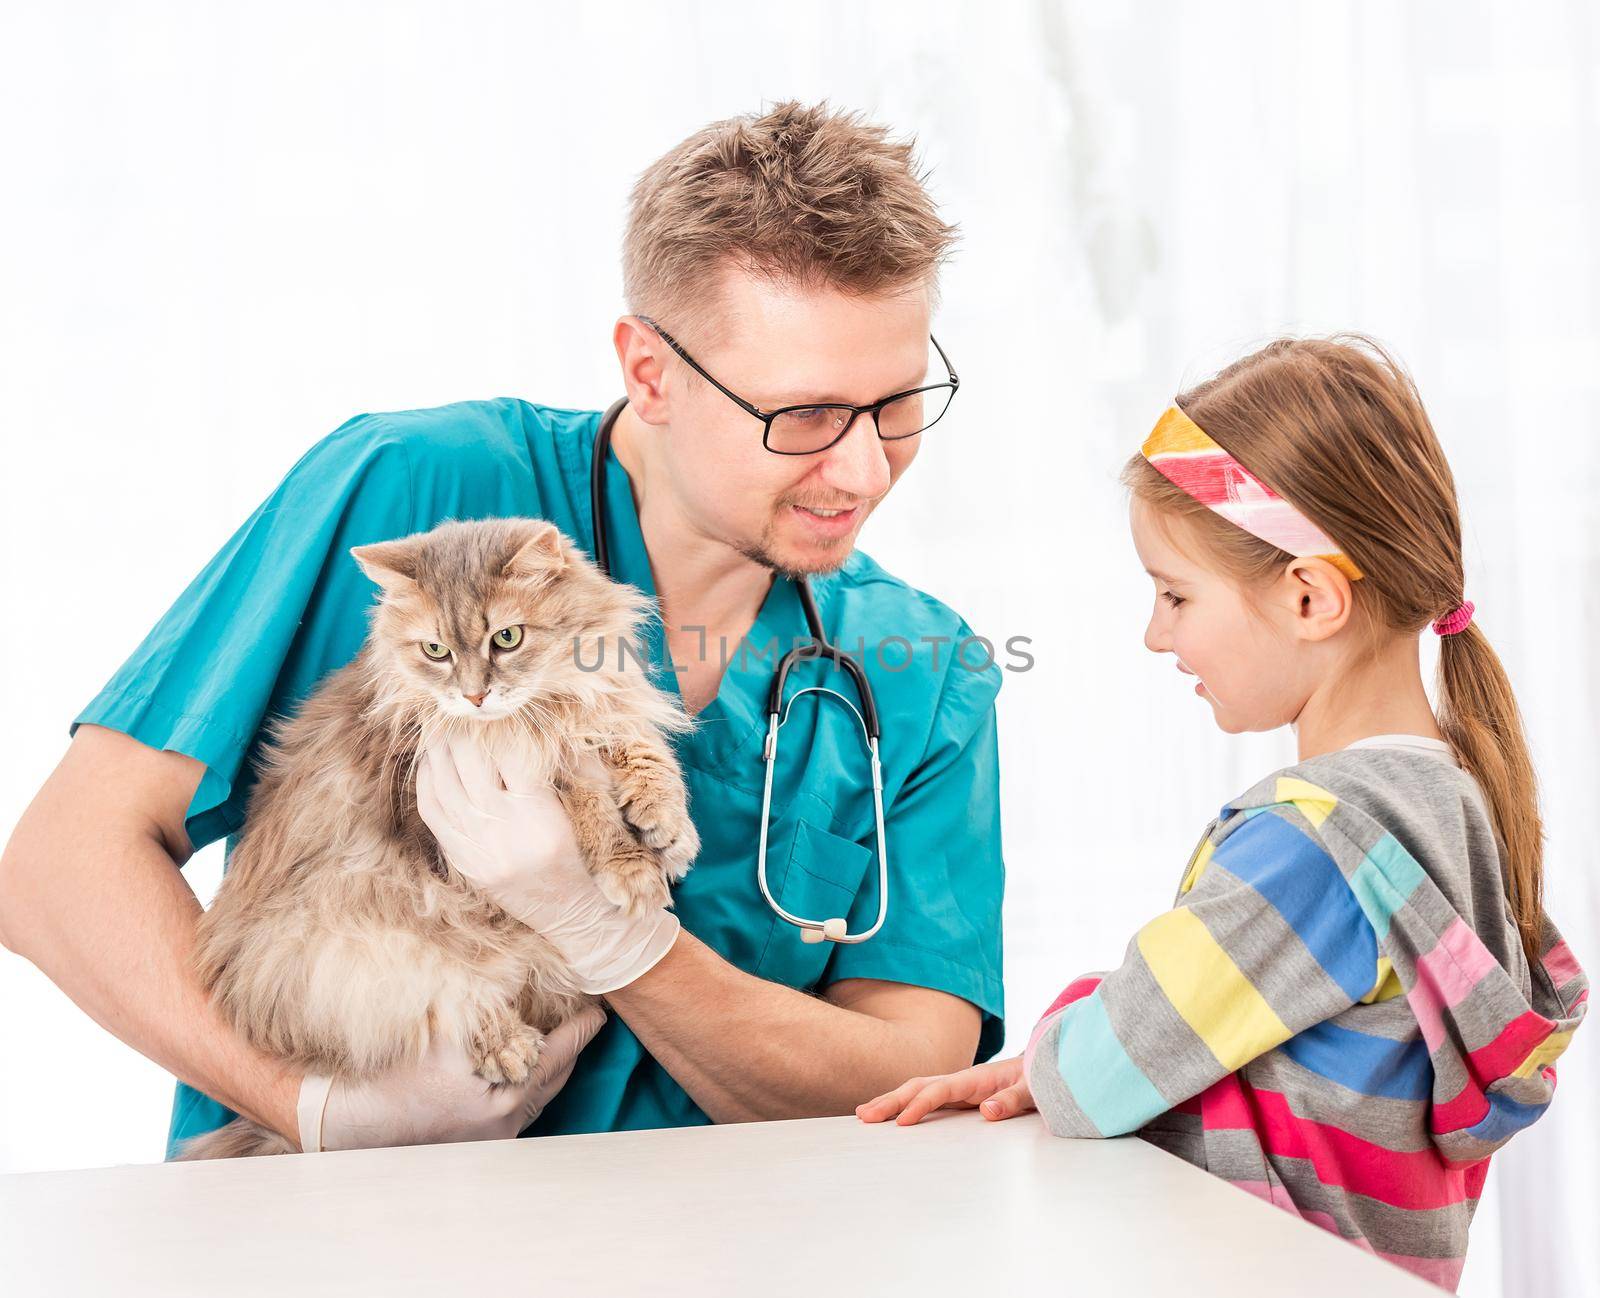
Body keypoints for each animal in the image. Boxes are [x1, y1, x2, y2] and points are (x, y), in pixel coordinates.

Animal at [181, 515, 694, 1158]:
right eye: (436, 651)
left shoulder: (600, 707)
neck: (543, 708)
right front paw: (632, 871)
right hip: (360, 940)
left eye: (507, 638)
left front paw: (669, 828)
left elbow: (641, 748)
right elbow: (582, 796)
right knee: (443, 995)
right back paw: (507, 1049)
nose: (474, 697)